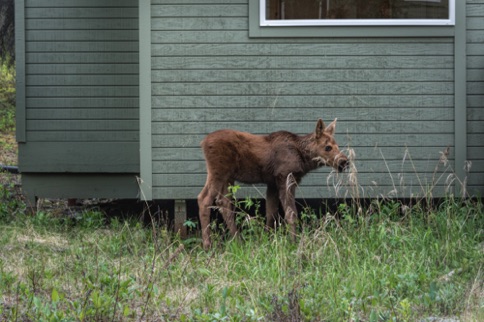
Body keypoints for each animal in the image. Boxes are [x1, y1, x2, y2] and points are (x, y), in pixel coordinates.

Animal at [197, 118, 348, 249]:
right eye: (327, 147)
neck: (303, 159)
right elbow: (291, 214)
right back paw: (208, 245)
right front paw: (293, 243)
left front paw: (267, 241)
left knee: (224, 203)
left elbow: (271, 213)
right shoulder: (285, 177)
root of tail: (203, 142)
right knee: (204, 199)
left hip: (228, 177)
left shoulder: (272, 182)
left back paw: (238, 241)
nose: (344, 161)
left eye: (337, 145)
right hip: (218, 172)